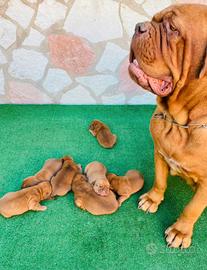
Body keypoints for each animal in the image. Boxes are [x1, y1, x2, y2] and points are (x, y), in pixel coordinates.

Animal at [129, 4, 207, 249]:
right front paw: (152, 199)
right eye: (155, 20)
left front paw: (181, 232)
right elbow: (160, 180)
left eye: (172, 28)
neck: (181, 122)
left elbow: (192, 208)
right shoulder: (159, 152)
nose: (138, 27)